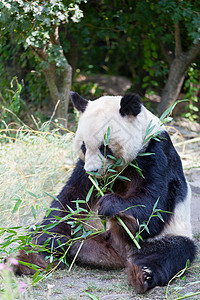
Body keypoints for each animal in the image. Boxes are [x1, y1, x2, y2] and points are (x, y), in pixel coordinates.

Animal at [14, 92, 196, 292]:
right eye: (83, 146)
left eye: (105, 147)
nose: (93, 170)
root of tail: (121, 255)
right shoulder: (83, 169)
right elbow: (70, 199)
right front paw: (51, 238)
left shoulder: (155, 153)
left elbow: (153, 206)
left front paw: (110, 204)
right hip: (88, 233)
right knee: (41, 238)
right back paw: (32, 259)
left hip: (166, 237)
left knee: (171, 253)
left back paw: (143, 275)